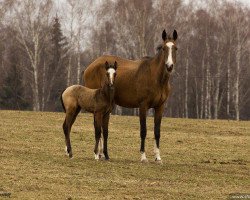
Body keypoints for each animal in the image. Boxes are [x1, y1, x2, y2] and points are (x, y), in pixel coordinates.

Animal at [84, 29, 178, 162]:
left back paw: (102, 153)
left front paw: (158, 157)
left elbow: (157, 132)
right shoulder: (143, 106)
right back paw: (98, 154)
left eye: (175, 48)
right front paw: (143, 156)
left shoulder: (160, 107)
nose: (169, 66)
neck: (155, 78)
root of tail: (90, 66)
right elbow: (143, 130)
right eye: (164, 48)